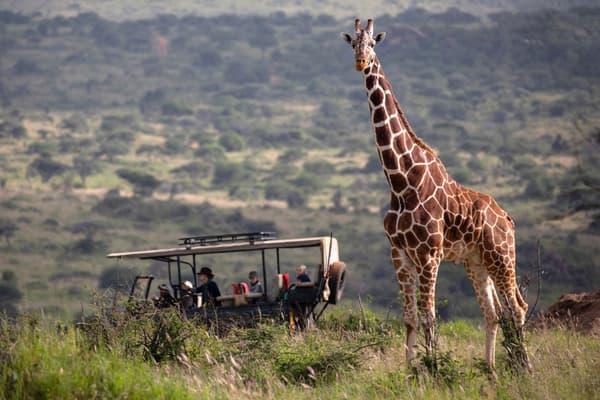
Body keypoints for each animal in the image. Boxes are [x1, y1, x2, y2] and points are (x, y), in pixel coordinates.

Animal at [342, 19, 528, 372]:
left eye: (373, 43)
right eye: (352, 44)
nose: (360, 62)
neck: (401, 180)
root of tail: (508, 219)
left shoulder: (429, 254)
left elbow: (429, 317)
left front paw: (433, 369)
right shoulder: (399, 254)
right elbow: (410, 318)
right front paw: (411, 372)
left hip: (501, 255)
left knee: (517, 308)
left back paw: (524, 368)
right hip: (476, 261)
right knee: (494, 313)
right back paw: (492, 371)